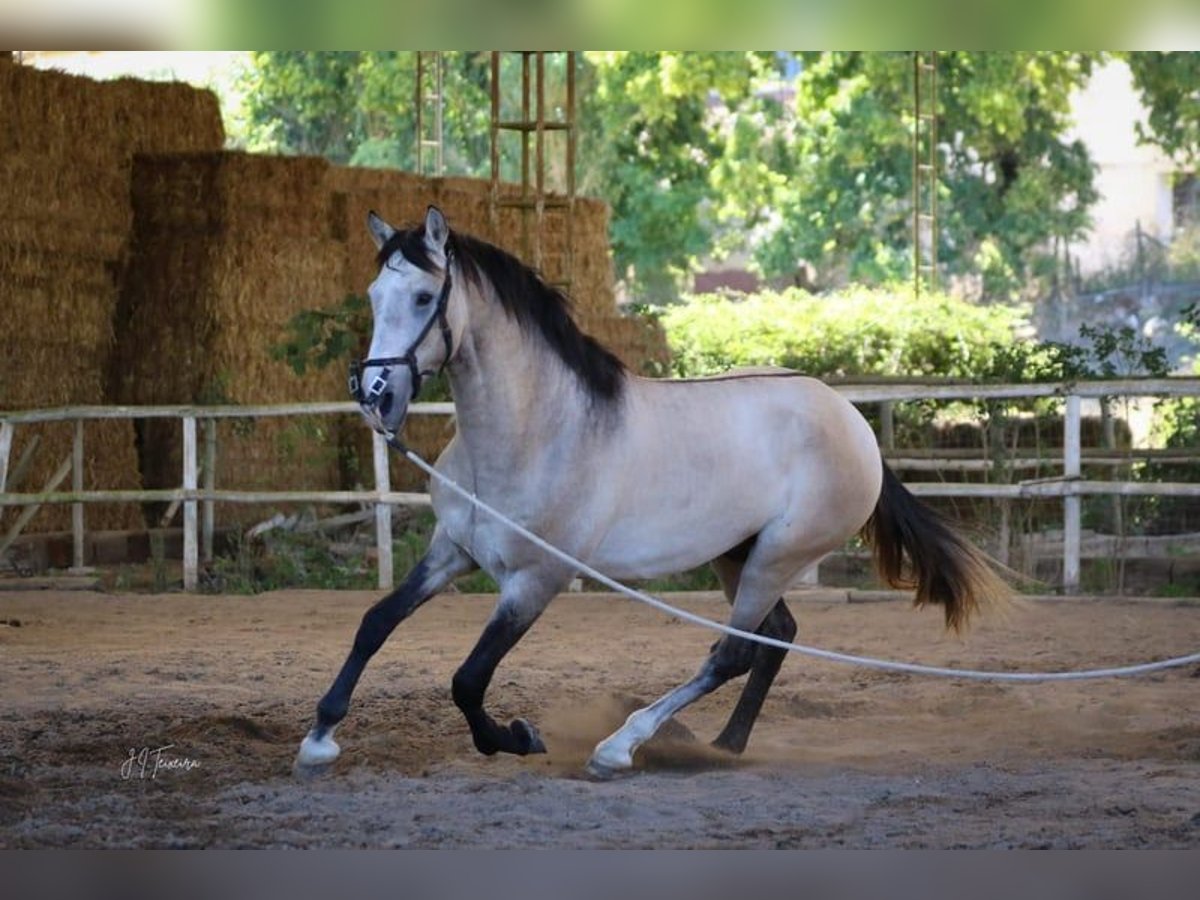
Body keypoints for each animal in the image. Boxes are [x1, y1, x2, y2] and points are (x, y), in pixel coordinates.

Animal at [295, 207, 1008, 777]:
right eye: (373, 294)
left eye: (423, 298)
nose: (376, 396)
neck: (535, 431)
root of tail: (851, 422)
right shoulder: (454, 551)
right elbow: (376, 622)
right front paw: (319, 738)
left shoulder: (536, 579)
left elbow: (468, 680)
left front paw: (520, 737)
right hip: (737, 554)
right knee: (774, 638)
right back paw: (723, 746)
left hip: (778, 556)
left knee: (732, 652)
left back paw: (620, 748)